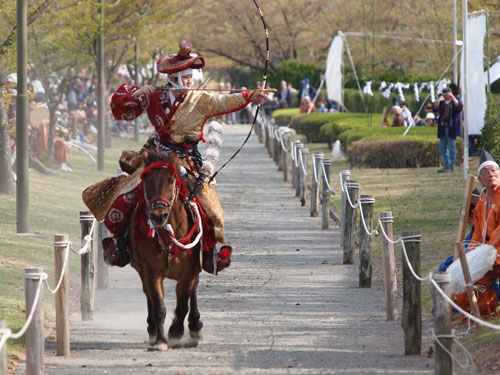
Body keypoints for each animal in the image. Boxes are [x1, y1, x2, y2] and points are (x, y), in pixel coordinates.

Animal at [129, 151, 205, 352]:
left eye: (171, 180)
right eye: (146, 180)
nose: (159, 215)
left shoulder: (188, 272)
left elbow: (183, 304)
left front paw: (176, 332)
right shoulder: (151, 271)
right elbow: (158, 306)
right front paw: (160, 340)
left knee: (192, 293)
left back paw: (195, 327)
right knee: (148, 294)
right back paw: (152, 329)